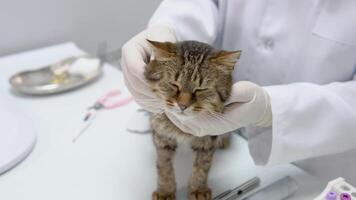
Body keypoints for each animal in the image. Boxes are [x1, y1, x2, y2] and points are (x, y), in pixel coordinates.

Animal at [143, 39, 241, 200]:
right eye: (174, 84)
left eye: (200, 89)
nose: (182, 106)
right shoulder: (162, 136)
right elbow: (164, 166)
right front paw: (165, 191)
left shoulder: (209, 140)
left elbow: (202, 167)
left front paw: (198, 189)